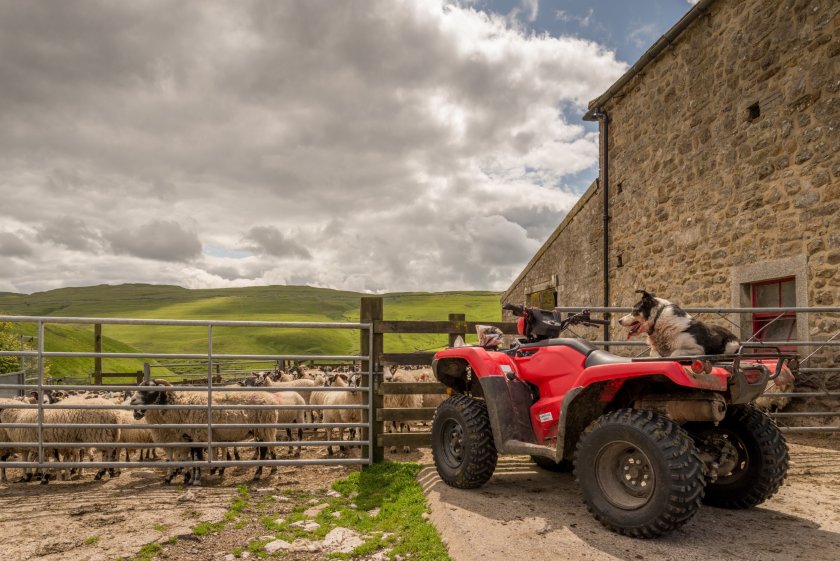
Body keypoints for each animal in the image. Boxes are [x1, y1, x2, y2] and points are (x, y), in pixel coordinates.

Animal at [130, 380, 278, 486]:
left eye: (150, 390)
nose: (132, 401)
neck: (181, 405)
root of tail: (271, 400)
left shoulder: (198, 435)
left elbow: (197, 458)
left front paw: (195, 480)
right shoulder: (191, 437)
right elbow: (192, 458)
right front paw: (190, 479)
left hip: (263, 429)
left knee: (264, 451)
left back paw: (257, 474)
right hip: (261, 431)